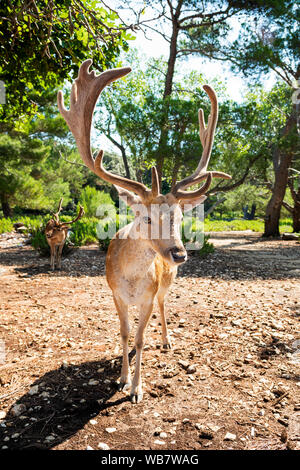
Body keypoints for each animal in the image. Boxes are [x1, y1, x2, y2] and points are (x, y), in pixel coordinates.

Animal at [57, 59, 231, 404]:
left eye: (179, 215)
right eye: (146, 218)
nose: (179, 254)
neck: (133, 282)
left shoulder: (148, 296)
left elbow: (139, 338)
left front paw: (136, 388)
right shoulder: (115, 294)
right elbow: (125, 334)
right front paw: (121, 378)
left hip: (166, 285)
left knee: (164, 307)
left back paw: (165, 340)